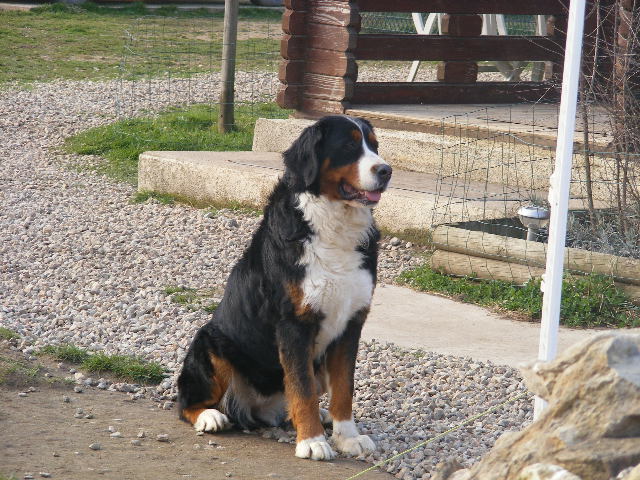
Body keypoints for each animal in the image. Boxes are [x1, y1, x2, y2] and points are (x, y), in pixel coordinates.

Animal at [178, 115, 392, 462]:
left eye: (374, 146)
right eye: (348, 146)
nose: (386, 171)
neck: (333, 225)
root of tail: (254, 408)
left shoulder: (351, 323)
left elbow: (343, 388)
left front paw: (347, 437)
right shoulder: (295, 323)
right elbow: (301, 390)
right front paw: (313, 442)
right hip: (210, 342)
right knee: (186, 401)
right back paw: (210, 416)